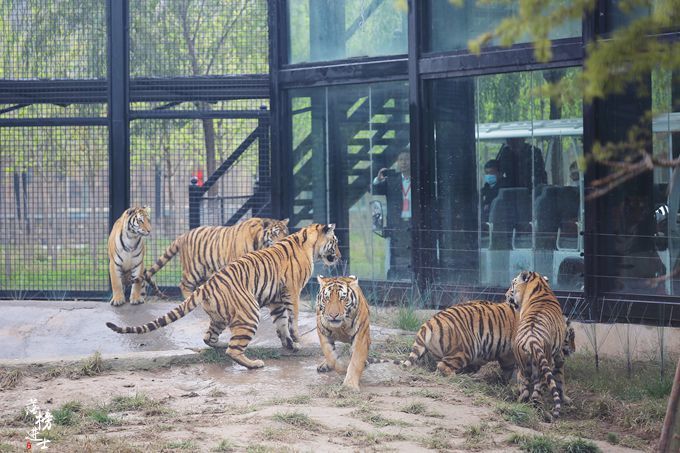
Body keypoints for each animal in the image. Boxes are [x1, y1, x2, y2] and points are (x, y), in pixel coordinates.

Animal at [139, 217, 288, 298]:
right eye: (275, 233)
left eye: (285, 232)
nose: (283, 241)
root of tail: (182, 236)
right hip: (194, 269)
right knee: (184, 284)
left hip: (205, 271)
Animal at [504, 270, 568, 418]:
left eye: (512, 284)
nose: (505, 295)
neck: (540, 285)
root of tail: (531, 339)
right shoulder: (558, 353)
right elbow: (560, 376)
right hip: (543, 364)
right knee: (536, 393)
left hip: (523, 366)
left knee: (526, 391)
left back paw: (520, 404)